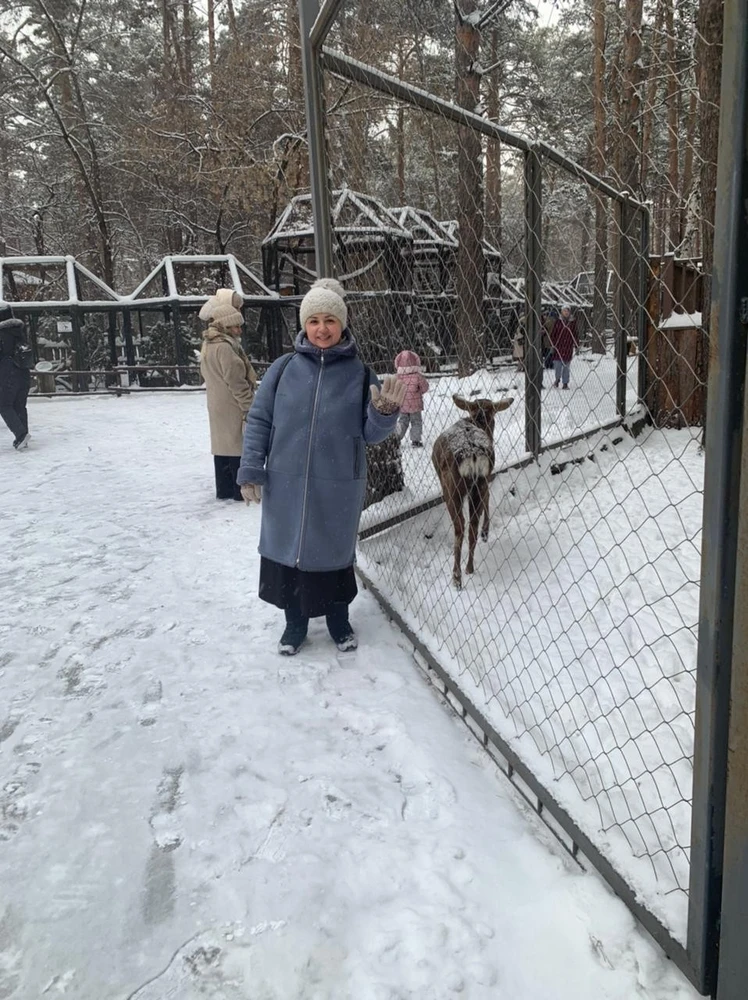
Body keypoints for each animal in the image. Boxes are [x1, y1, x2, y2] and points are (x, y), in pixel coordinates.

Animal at [432, 394, 516, 588]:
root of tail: (473, 455)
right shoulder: (488, 475)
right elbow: (488, 497)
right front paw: (486, 532)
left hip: (452, 488)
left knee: (460, 526)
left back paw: (457, 577)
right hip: (480, 482)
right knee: (473, 526)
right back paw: (469, 568)